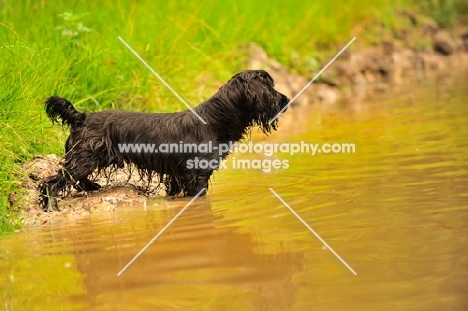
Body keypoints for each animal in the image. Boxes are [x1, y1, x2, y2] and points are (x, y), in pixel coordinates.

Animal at [40, 70, 288, 212]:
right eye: (271, 88)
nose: (286, 99)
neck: (215, 120)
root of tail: (82, 116)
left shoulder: (178, 175)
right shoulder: (197, 174)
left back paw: (92, 186)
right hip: (85, 156)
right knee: (53, 181)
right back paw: (51, 206)